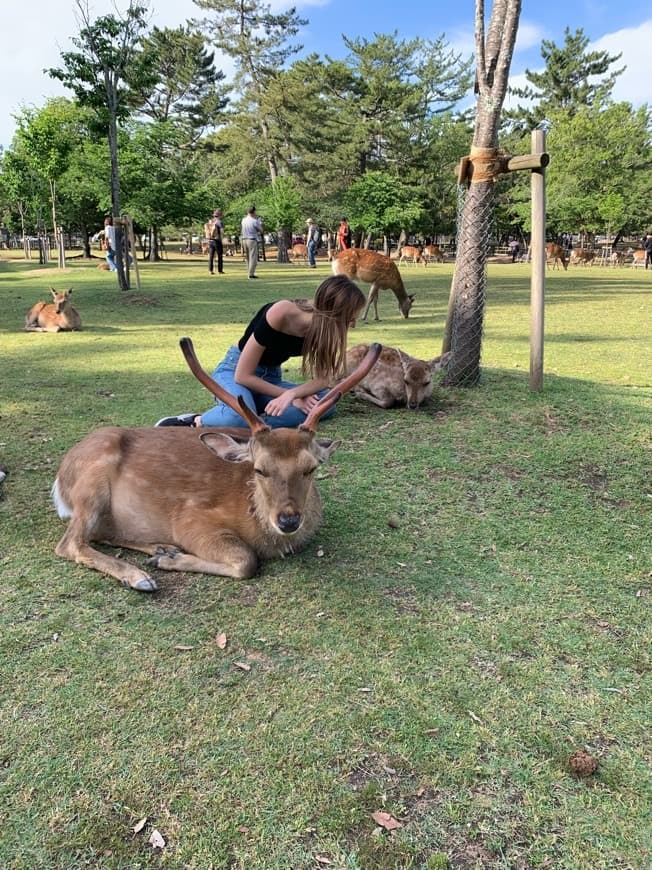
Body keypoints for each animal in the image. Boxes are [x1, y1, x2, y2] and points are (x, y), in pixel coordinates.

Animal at [53, 340, 384, 592]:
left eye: (311, 468)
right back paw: (140, 575)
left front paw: (167, 556)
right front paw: (169, 563)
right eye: (259, 469)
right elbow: (246, 561)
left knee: (96, 534)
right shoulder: (190, 518)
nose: (289, 520)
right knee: (70, 543)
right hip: (92, 482)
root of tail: (59, 482)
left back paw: (160, 548)